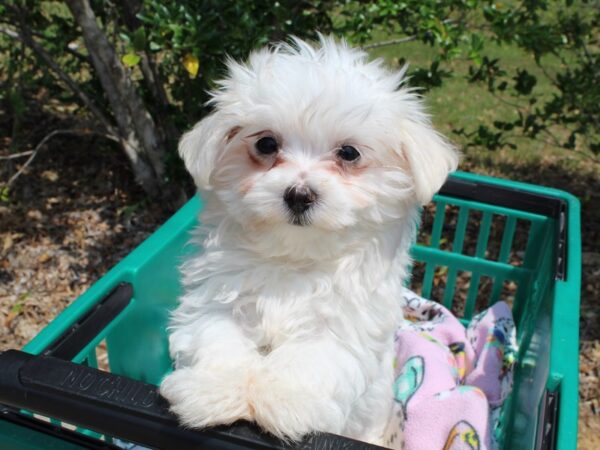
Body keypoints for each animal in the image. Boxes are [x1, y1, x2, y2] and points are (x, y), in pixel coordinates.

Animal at [161, 34, 460, 442]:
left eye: (348, 152)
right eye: (266, 144)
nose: (299, 195)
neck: (295, 258)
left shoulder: (345, 323)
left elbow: (312, 358)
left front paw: (284, 401)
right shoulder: (214, 296)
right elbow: (218, 336)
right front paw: (212, 393)